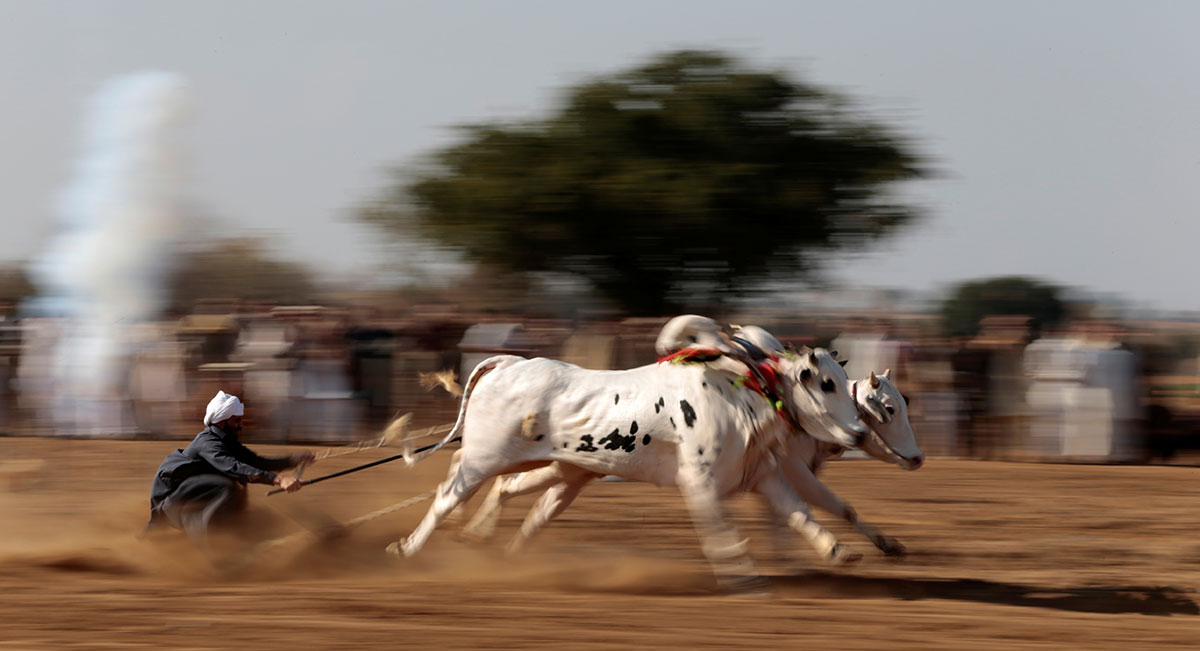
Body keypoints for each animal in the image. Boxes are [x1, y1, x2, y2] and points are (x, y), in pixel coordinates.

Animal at [388, 345, 868, 590]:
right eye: (826, 383)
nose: (861, 432)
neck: (740, 395)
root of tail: (509, 362)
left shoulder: (761, 474)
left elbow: (799, 513)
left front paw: (837, 550)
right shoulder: (699, 482)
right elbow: (718, 530)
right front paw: (740, 573)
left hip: (564, 471)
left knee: (514, 495)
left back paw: (490, 544)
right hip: (485, 457)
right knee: (447, 495)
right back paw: (407, 549)